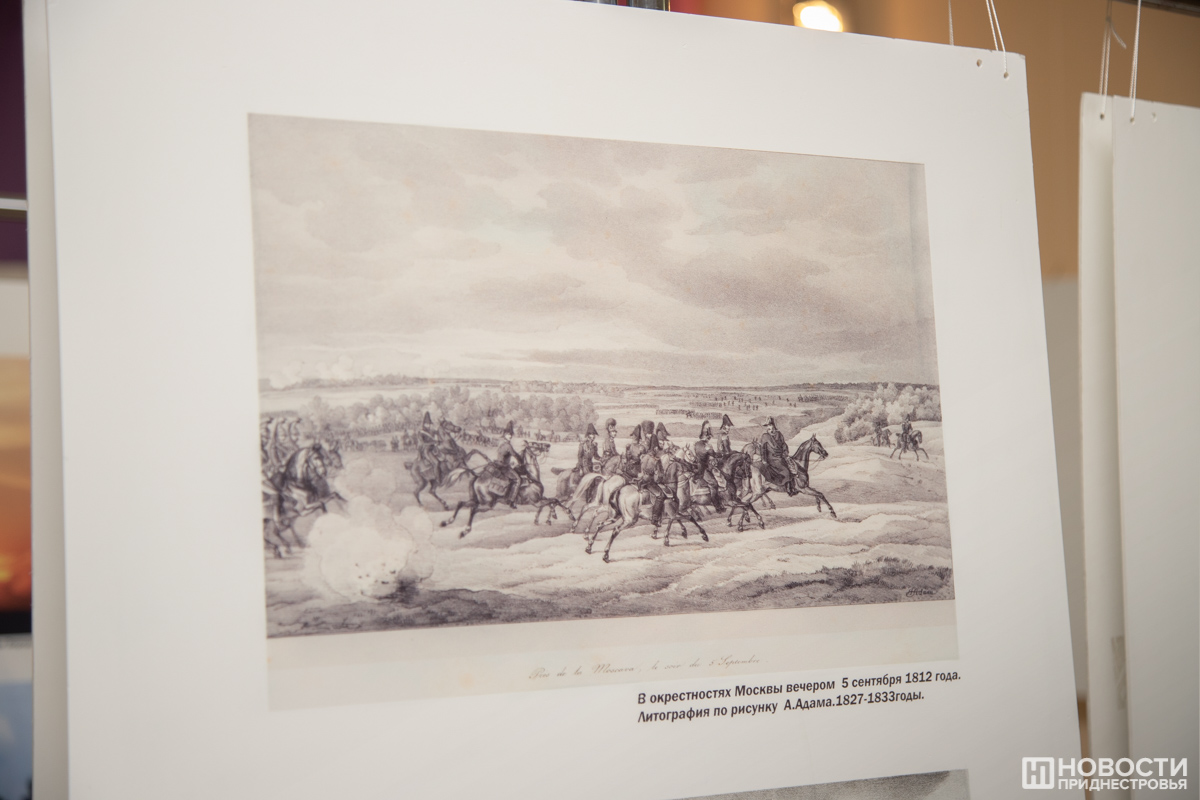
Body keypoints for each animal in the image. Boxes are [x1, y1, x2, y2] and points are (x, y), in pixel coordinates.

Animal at [440, 441, 574, 538]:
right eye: (535, 444)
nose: (547, 445)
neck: (532, 479)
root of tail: (477, 476)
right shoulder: (536, 501)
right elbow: (554, 501)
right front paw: (568, 514)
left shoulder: (540, 499)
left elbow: (553, 501)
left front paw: (553, 516)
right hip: (488, 503)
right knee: (473, 510)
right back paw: (465, 531)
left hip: (477, 500)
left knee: (461, 503)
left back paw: (447, 522)